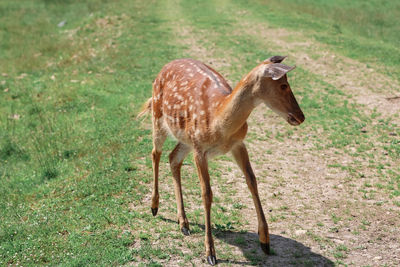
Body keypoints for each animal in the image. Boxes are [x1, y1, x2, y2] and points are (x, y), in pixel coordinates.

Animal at [139, 56, 304, 266]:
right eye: (283, 85)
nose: (301, 116)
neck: (218, 122)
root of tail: (165, 67)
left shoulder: (238, 144)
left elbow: (252, 181)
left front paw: (265, 242)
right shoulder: (200, 150)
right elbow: (206, 193)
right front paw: (210, 253)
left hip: (185, 139)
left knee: (173, 158)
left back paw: (183, 223)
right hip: (158, 116)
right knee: (156, 153)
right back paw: (154, 207)